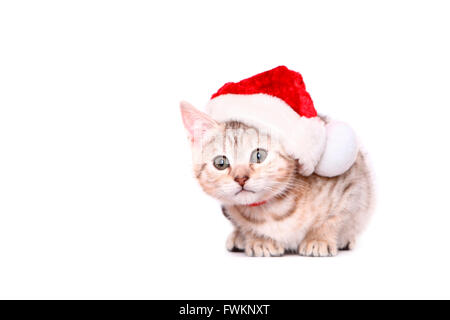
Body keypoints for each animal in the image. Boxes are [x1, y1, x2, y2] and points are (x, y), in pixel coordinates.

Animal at [179, 102, 372, 258]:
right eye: (220, 163)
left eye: (259, 155)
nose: (241, 178)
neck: (273, 211)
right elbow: (243, 224)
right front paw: (258, 239)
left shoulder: (352, 183)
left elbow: (336, 217)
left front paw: (319, 238)